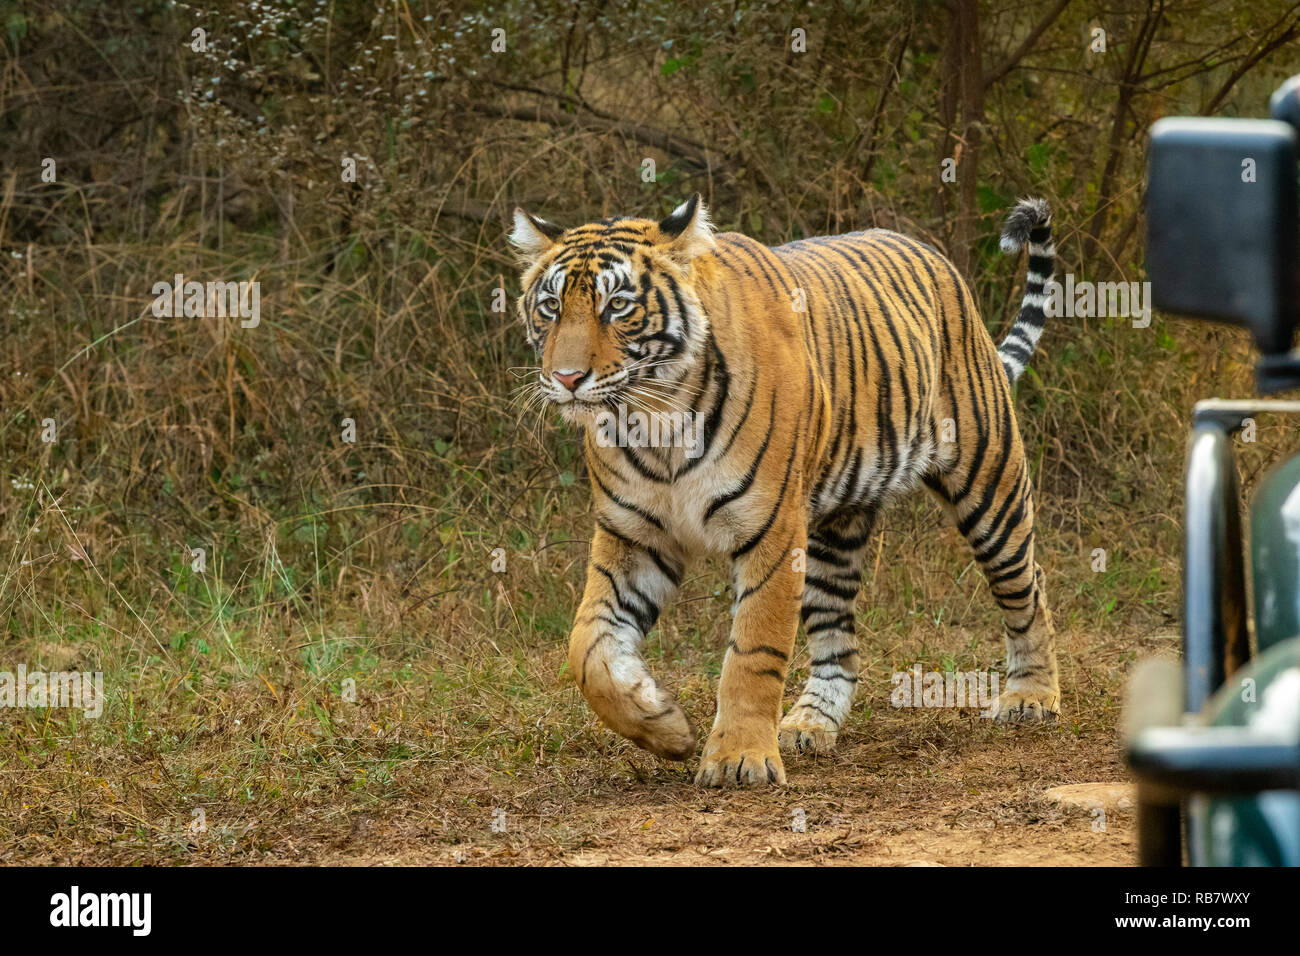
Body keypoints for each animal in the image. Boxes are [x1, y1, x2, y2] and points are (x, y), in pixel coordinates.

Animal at [510, 193, 1060, 787]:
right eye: (550, 307)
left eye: (617, 306)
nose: (566, 379)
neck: (657, 422)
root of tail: (932, 254)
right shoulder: (632, 537)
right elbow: (587, 647)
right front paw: (664, 727)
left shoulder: (770, 531)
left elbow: (752, 651)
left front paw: (738, 758)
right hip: (834, 531)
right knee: (838, 638)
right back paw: (810, 724)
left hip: (990, 484)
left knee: (1026, 586)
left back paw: (1032, 697)